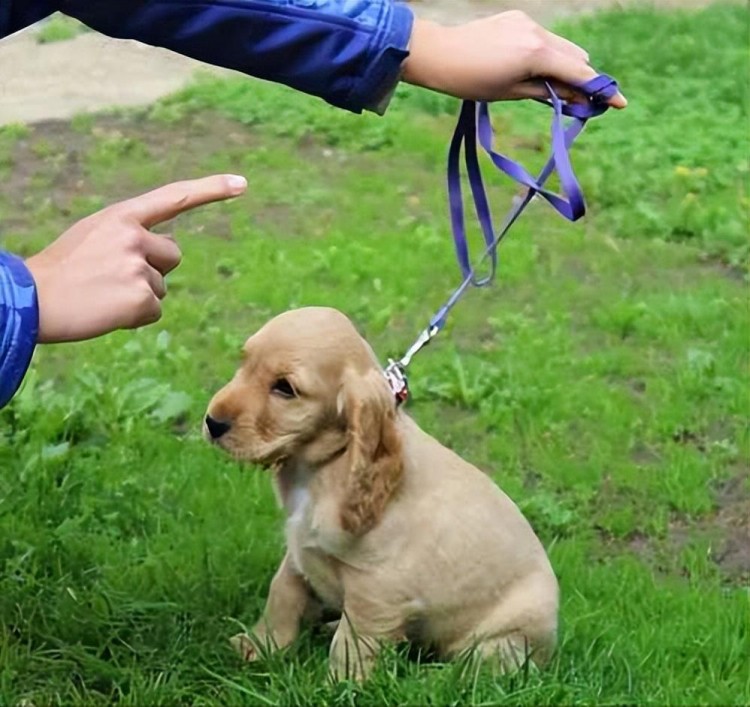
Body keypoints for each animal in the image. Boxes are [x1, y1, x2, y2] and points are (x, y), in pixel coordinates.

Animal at [204, 308, 560, 680]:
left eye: (285, 388)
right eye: (243, 362)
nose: (213, 422)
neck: (322, 467)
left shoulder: (377, 590)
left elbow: (351, 643)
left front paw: (339, 684)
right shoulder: (300, 550)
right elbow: (282, 594)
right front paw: (259, 646)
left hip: (506, 637)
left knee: (475, 668)